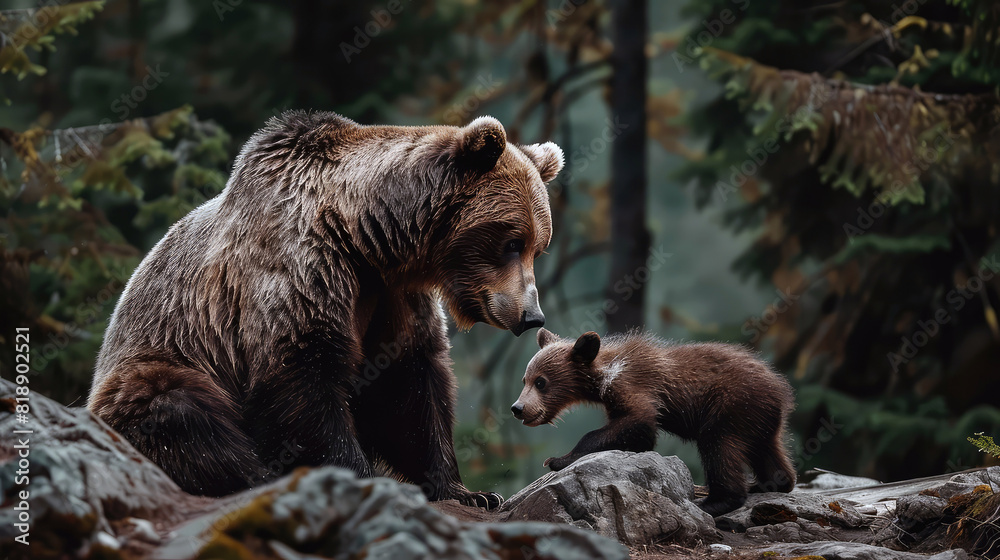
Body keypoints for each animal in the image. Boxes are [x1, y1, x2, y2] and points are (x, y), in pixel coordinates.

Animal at [87, 111, 564, 509]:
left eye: (538, 247)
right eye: (512, 242)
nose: (532, 316)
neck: (365, 236)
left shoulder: (389, 294)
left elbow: (408, 384)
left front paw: (468, 492)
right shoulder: (300, 268)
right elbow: (303, 377)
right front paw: (360, 475)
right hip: (156, 360)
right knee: (177, 408)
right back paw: (251, 475)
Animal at [510, 328, 796, 516]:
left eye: (541, 382)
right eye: (524, 379)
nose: (518, 408)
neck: (604, 375)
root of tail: (780, 388)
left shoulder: (635, 385)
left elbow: (639, 424)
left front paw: (557, 459)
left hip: (731, 404)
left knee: (718, 445)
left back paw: (715, 501)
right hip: (758, 419)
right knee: (766, 449)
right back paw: (770, 482)